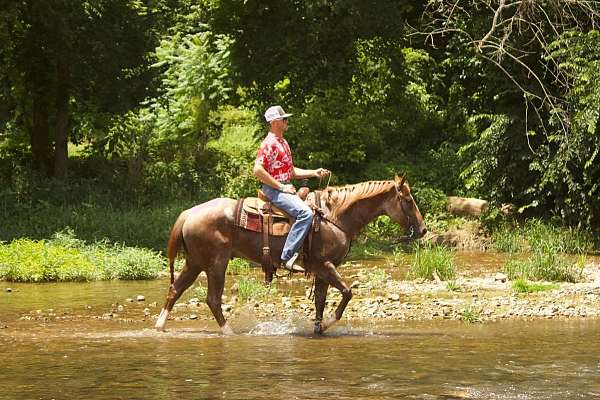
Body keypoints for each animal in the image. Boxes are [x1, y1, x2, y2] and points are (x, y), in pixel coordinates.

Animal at [155, 175, 426, 334]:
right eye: (408, 200)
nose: (423, 230)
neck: (335, 216)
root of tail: (189, 213)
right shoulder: (325, 265)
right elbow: (347, 293)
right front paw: (328, 322)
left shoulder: (322, 271)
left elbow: (320, 301)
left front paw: (318, 328)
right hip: (215, 264)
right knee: (212, 299)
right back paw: (228, 332)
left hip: (195, 263)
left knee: (175, 290)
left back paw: (160, 326)